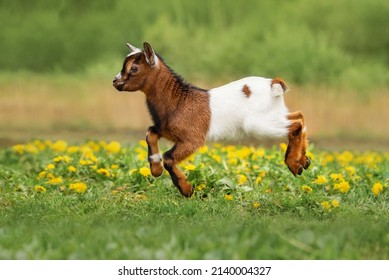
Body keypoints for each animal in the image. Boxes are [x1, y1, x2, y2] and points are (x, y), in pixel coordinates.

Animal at [111, 42, 310, 198]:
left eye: (134, 68)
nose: (115, 81)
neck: (179, 100)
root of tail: (273, 85)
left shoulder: (192, 138)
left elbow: (168, 157)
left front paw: (187, 190)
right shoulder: (165, 129)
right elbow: (150, 133)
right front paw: (155, 169)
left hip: (260, 124)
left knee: (295, 124)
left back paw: (294, 165)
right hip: (274, 115)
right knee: (300, 117)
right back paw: (304, 161)